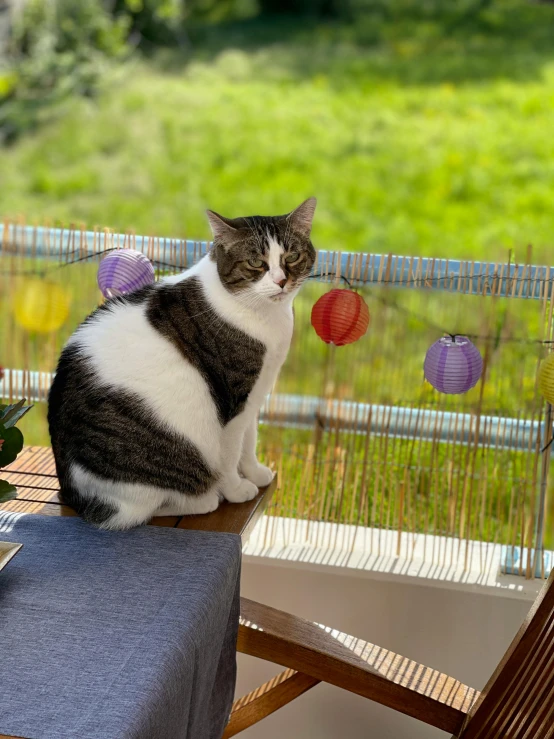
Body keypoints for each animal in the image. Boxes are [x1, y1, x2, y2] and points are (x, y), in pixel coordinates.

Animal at [47, 199, 314, 528]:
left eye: (292, 256)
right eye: (256, 262)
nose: (281, 280)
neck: (268, 316)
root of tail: (78, 498)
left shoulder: (255, 392)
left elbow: (249, 441)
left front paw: (256, 473)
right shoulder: (232, 399)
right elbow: (231, 452)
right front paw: (237, 489)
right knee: (158, 507)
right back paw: (207, 497)